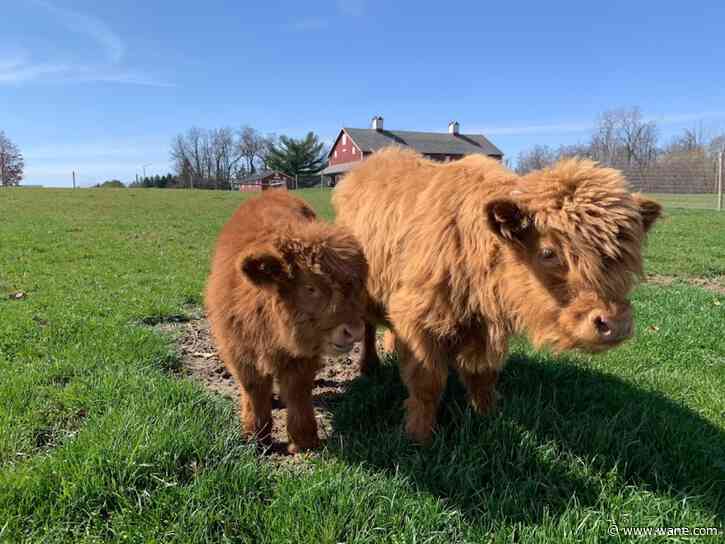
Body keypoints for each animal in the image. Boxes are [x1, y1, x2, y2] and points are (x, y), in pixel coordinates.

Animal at [205, 190, 368, 453]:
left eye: (354, 286)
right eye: (310, 287)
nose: (353, 330)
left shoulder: (302, 357)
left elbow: (297, 392)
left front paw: (303, 441)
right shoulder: (239, 353)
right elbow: (254, 391)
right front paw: (255, 437)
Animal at [333, 147, 661, 443]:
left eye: (623, 257)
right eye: (548, 252)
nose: (614, 324)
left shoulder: (485, 327)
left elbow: (483, 378)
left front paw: (487, 416)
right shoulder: (419, 318)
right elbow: (427, 384)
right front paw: (419, 436)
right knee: (368, 327)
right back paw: (369, 365)